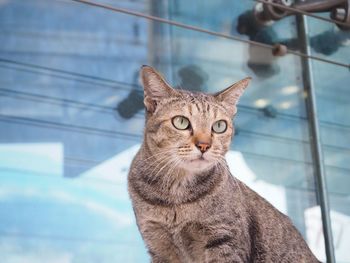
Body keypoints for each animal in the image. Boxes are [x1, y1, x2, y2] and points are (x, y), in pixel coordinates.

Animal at [129, 66, 320, 263]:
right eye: (181, 122)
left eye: (219, 126)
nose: (204, 145)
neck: (176, 196)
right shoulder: (158, 246)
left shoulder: (225, 239)